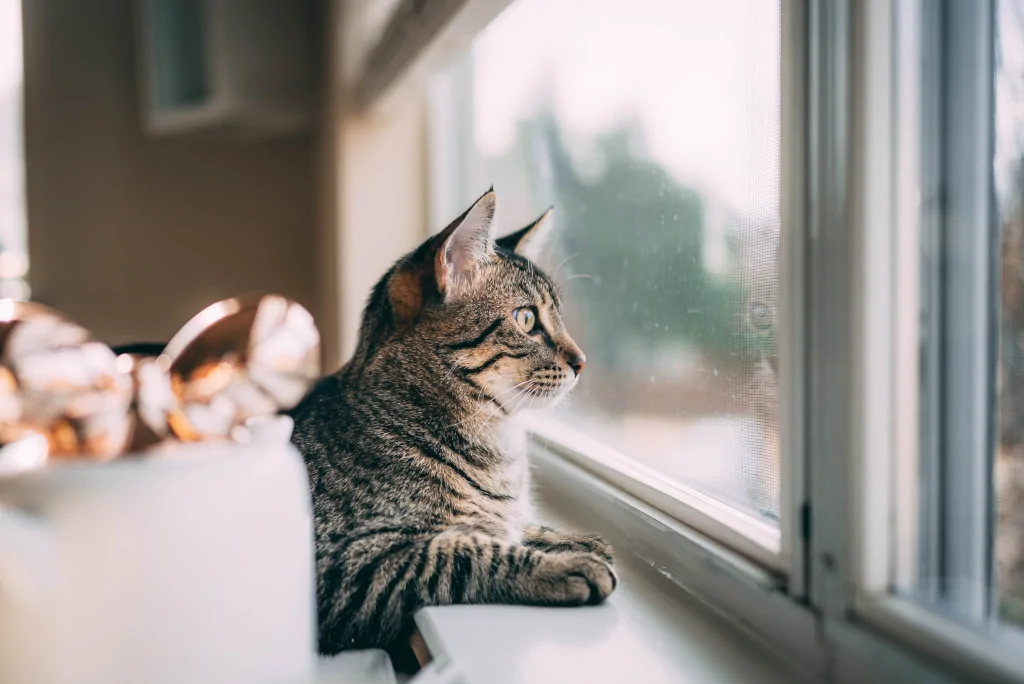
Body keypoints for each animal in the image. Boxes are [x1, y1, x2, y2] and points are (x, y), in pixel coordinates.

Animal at [288, 188, 614, 655]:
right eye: (527, 319)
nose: (582, 361)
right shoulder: (344, 569)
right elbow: (465, 553)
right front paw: (565, 564)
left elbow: (511, 526)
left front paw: (566, 537)